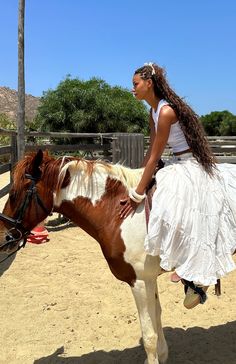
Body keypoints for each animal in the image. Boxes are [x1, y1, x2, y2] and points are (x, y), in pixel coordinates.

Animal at [0, 150, 168, 364]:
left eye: (14, 194)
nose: (3, 236)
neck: (118, 212)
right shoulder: (149, 279)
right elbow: (158, 317)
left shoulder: (139, 281)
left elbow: (149, 336)